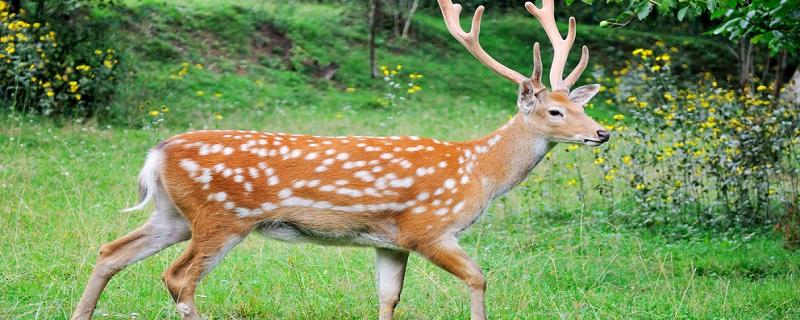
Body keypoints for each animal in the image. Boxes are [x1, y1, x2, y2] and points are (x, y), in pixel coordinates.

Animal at [73, 0, 608, 320]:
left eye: (581, 105)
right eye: (556, 111)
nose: (602, 132)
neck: (478, 172)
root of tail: (156, 152)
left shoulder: (391, 240)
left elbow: (389, 297)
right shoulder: (429, 228)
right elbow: (479, 277)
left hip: (174, 214)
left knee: (111, 251)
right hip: (220, 217)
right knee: (179, 279)